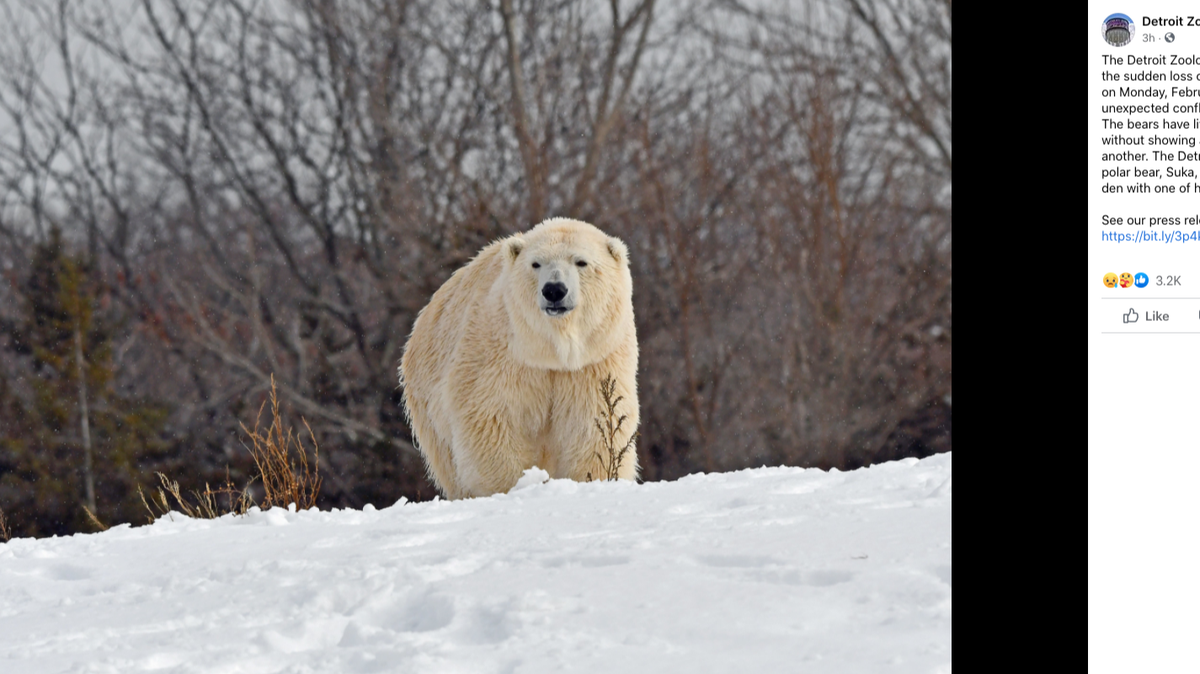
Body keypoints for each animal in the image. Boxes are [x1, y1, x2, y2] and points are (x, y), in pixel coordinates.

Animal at [399, 218, 639, 499]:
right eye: (536, 263)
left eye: (581, 262)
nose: (554, 290)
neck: (551, 351)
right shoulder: (503, 356)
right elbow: (490, 420)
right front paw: (511, 488)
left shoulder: (593, 362)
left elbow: (592, 424)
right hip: (428, 405)